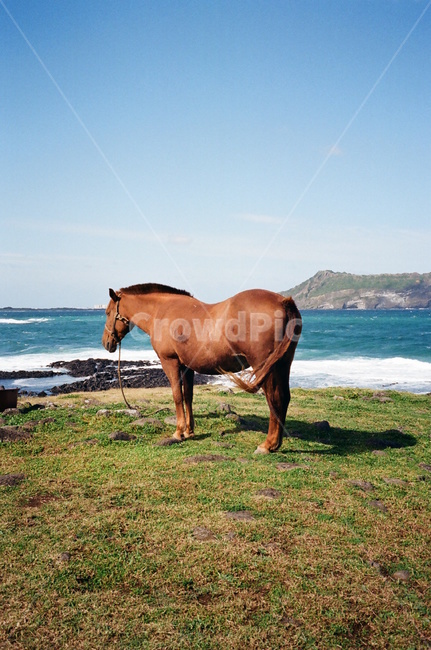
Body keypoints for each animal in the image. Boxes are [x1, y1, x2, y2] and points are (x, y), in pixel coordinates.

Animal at [102, 283, 302, 453]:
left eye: (107, 312)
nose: (106, 343)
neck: (162, 311)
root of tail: (283, 302)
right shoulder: (187, 366)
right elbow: (188, 396)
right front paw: (189, 431)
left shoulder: (170, 362)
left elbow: (177, 396)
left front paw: (178, 432)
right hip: (282, 365)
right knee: (284, 398)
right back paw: (276, 443)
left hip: (264, 366)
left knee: (274, 399)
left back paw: (267, 445)